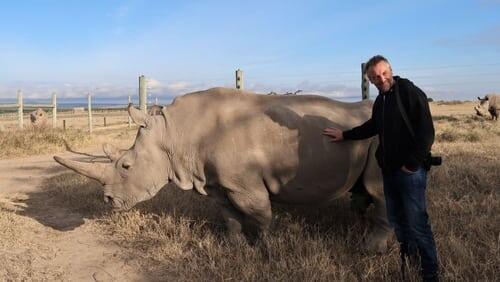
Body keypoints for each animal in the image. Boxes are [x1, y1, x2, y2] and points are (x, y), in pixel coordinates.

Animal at [53, 87, 390, 251]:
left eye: (126, 165)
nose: (108, 201)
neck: (174, 134)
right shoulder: (215, 182)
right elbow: (229, 216)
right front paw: (236, 246)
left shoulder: (246, 185)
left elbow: (260, 216)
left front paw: (268, 249)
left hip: (382, 134)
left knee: (380, 189)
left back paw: (370, 249)